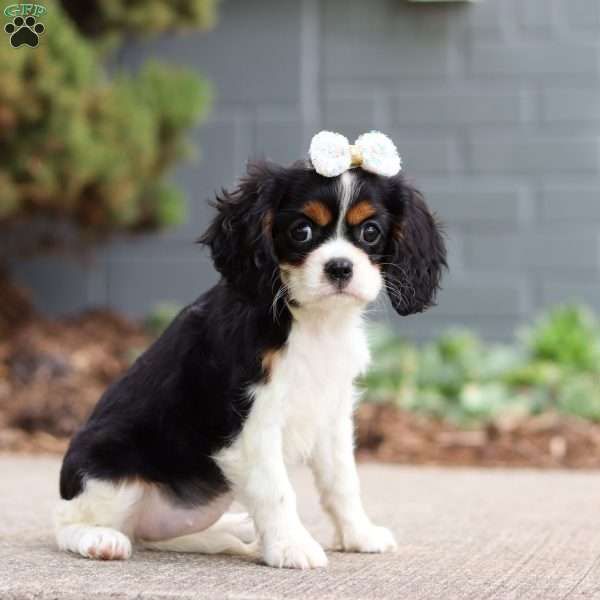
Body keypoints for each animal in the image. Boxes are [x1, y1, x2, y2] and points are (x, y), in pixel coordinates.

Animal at [55, 130, 446, 568]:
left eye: (371, 232)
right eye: (301, 231)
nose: (340, 267)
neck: (311, 320)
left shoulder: (332, 415)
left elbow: (342, 481)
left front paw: (359, 534)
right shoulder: (251, 424)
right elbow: (276, 490)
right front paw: (292, 547)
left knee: (154, 535)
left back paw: (234, 531)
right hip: (108, 463)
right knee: (71, 523)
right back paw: (100, 540)